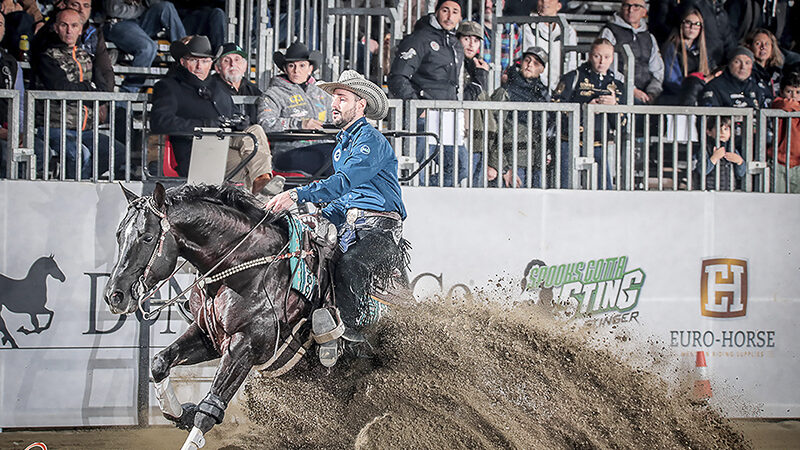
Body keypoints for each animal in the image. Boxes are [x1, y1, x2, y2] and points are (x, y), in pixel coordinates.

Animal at [104, 183, 320, 450]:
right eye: (119, 235)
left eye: (147, 237)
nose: (114, 296)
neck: (249, 266)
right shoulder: (208, 336)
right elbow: (160, 362)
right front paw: (182, 413)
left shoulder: (245, 345)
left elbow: (209, 410)